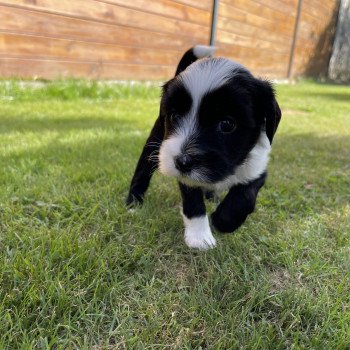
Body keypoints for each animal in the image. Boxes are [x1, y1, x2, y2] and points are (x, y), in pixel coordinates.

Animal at [126, 45, 282, 249]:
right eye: (174, 116)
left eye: (227, 124)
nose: (183, 161)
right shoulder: (184, 175)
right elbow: (193, 203)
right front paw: (199, 237)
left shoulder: (257, 166)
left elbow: (246, 196)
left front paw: (224, 220)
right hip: (155, 145)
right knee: (142, 171)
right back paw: (133, 204)